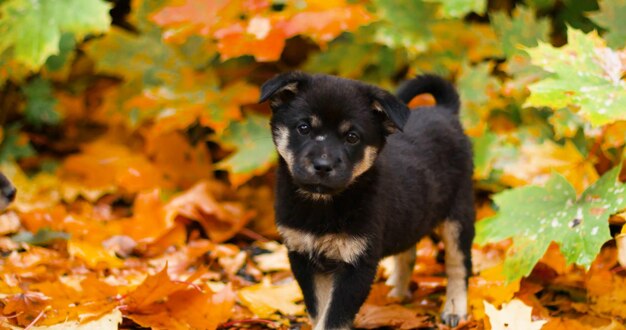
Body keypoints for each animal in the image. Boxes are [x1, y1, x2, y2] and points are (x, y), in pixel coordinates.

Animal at [260, 73, 472, 330]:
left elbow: (333, 317)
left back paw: (454, 309)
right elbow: (318, 309)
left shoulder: (357, 263)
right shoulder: (302, 256)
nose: (323, 165)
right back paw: (396, 295)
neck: (323, 204)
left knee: (458, 265)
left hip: (459, 215)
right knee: (408, 253)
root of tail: (445, 111)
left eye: (352, 137)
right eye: (304, 128)